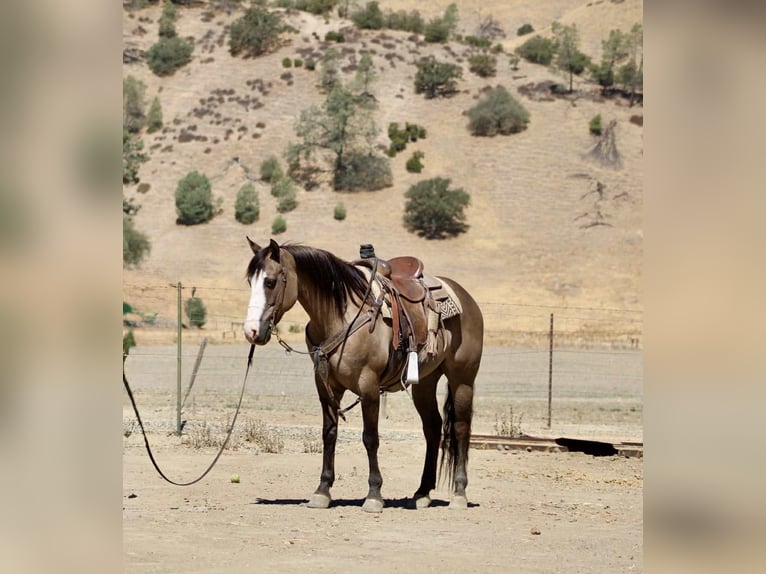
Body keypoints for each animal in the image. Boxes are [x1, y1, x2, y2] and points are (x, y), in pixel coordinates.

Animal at [243, 239, 483, 512]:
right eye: (250, 281)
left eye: (270, 282)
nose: (251, 331)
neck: (340, 316)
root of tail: (466, 297)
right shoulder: (326, 386)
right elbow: (329, 434)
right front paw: (322, 491)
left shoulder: (368, 386)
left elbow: (370, 437)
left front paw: (374, 495)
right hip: (425, 382)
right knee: (432, 427)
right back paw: (422, 493)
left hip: (462, 378)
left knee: (461, 428)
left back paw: (459, 494)